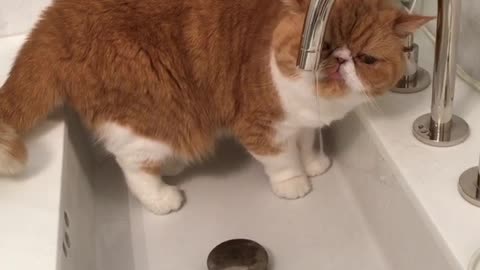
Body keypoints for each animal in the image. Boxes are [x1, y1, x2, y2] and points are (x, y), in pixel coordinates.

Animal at [0, 0, 432, 215]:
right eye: (321, 44)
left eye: (366, 59)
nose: (339, 59)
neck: (318, 102)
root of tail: (52, 19)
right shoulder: (260, 126)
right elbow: (281, 160)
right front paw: (294, 182)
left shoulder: (306, 122)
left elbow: (308, 143)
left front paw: (313, 164)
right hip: (154, 112)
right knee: (133, 163)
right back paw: (163, 198)